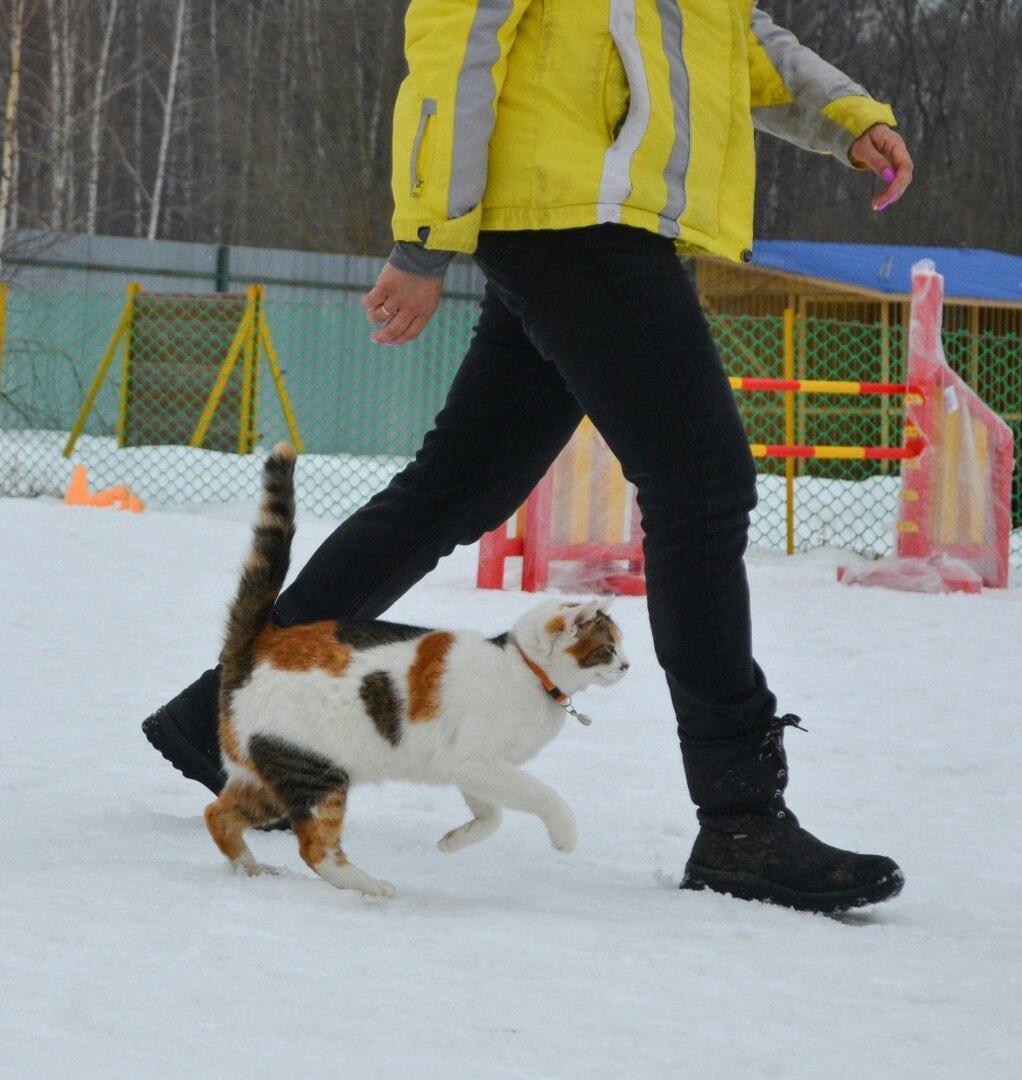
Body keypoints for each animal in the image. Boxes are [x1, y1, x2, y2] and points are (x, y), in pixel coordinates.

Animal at [203, 442, 626, 898]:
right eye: (608, 648)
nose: (627, 665)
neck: (528, 670)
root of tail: (257, 643)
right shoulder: (480, 763)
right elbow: (544, 796)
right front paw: (565, 837)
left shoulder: (471, 770)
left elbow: (491, 816)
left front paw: (453, 841)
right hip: (313, 770)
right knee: (315, 848)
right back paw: (371, 887)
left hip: (273, 776)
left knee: (218, 813)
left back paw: (251, 869)